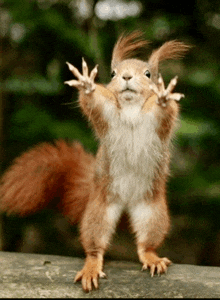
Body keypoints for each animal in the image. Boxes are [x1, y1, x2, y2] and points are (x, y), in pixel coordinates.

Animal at [0, 31, 189, 292]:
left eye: (148, 74)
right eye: (113, 74)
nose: (126, 76)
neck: (130, 108)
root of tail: (126, 202)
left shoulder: (159, 124)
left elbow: (165, 111)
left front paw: (162, 96)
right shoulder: (108, 115)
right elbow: (94, 103)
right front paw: (87, 85)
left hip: (153, 212)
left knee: (145, 244)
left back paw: (151, 257)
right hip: (99, 211)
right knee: (94, 245)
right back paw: (91, 265)